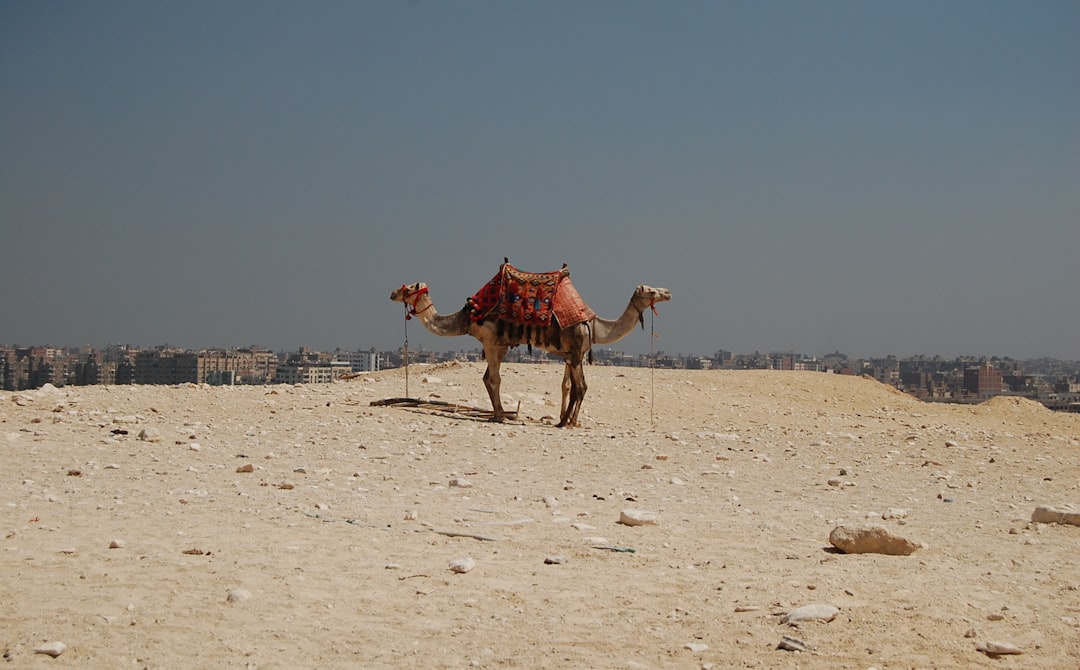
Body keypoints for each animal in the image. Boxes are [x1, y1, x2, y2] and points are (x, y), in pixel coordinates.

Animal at [393, 273, 669, 430]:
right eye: (651, 289)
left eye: (408, 288)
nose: (668, 291)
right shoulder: (501, 344)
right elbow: (573, 387)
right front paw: (502, 415)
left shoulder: (569, 354)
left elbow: (568, 387)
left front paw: (566, 420)